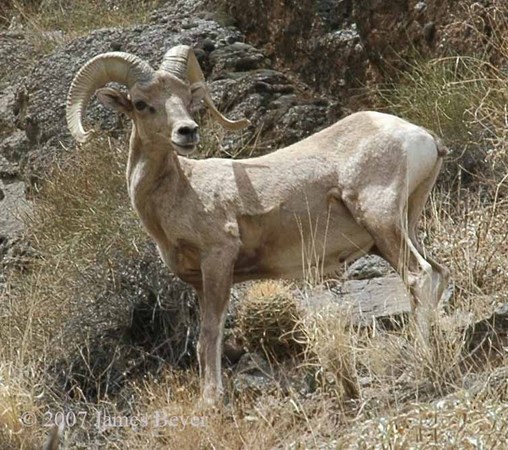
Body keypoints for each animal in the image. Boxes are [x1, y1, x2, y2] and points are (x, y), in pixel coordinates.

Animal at [66, 45, 448, 404]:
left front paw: (211, 402)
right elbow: (204, 342)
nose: (187, 132)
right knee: (437, 274)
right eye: (142, 104)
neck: (182, 190)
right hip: (402, 226)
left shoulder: (218, 260)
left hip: (381, 220)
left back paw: (422, 363)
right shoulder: (199, 282)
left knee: (419, 276)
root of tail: (422, 136)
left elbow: (210, 335)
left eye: (187, 98)